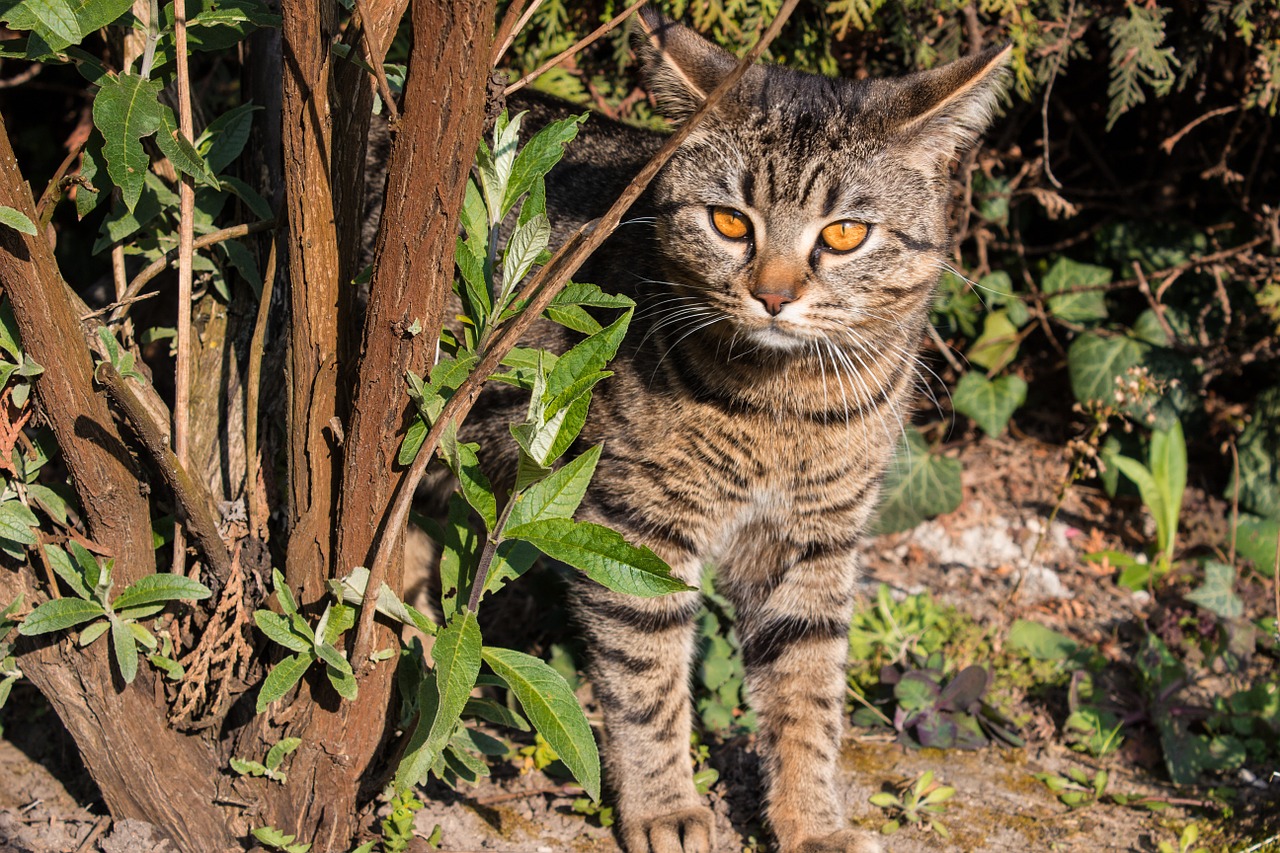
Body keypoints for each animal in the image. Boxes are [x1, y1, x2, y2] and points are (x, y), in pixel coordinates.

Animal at [430, 8, 1008, 850]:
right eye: (731, 221)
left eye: (844, 234)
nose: (773, 295)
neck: (785, 407)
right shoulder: (636, 525)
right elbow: (647, 681)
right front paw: (665, 805)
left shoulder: (814, 541)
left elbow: (808, 691)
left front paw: (812, 821)